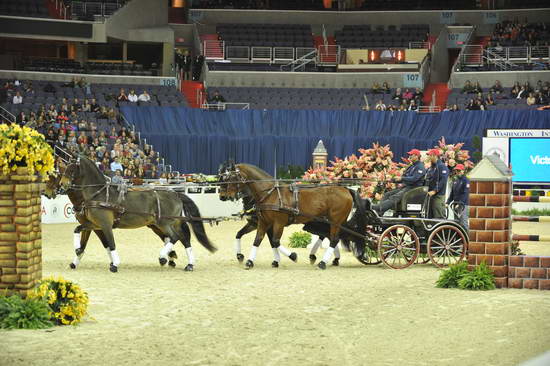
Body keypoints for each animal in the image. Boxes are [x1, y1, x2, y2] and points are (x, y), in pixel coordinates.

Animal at [47, 156, 217, 274]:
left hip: (164, 223)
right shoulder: (94, 225)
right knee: (183, 239)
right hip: (162, 224)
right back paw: (187, 264)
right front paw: (75, 259)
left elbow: (111, 243)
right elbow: (80, 234)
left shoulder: (105, 225)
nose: (62, 185)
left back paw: (164, 257)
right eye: (63, 171)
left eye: (71, 170)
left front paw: (115, 265)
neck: (98, 195)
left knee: (175, 237)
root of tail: (175, 194)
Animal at [220, 162, 366, 270]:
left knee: (334, 239)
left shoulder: (278, 223)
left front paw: (292, 256)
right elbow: (257, 240)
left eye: (230, 178)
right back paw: (328, 259)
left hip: (335, 220)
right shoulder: (263, 222)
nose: (223, 197)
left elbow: (275, 241)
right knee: (332, 236)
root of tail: (346, 189)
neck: (270, 194)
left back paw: (323, 262)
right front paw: (250, 261)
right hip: (331, 221)